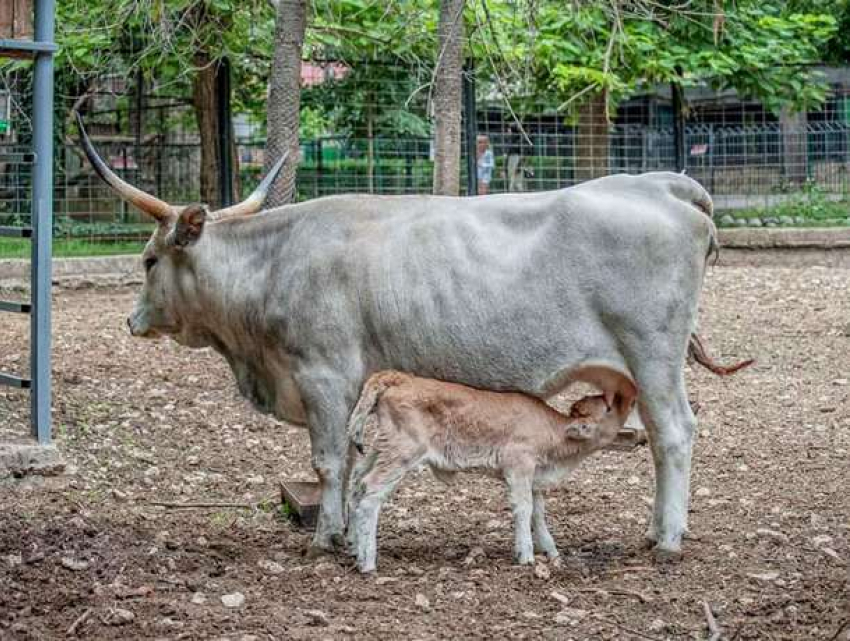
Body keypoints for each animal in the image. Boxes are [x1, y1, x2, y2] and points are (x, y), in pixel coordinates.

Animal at [346, 370, 636, 568]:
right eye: (609, 406)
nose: (632, 399)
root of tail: (399, 377)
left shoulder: (534, 476)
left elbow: (538, 513)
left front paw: (551, 551)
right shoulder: (519, 465)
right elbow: (524, 508)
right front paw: (526, 556)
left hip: (381, 448)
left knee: (357, 482)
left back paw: (355, 548)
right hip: (402, 453)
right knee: (371, 493)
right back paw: (368, 561)